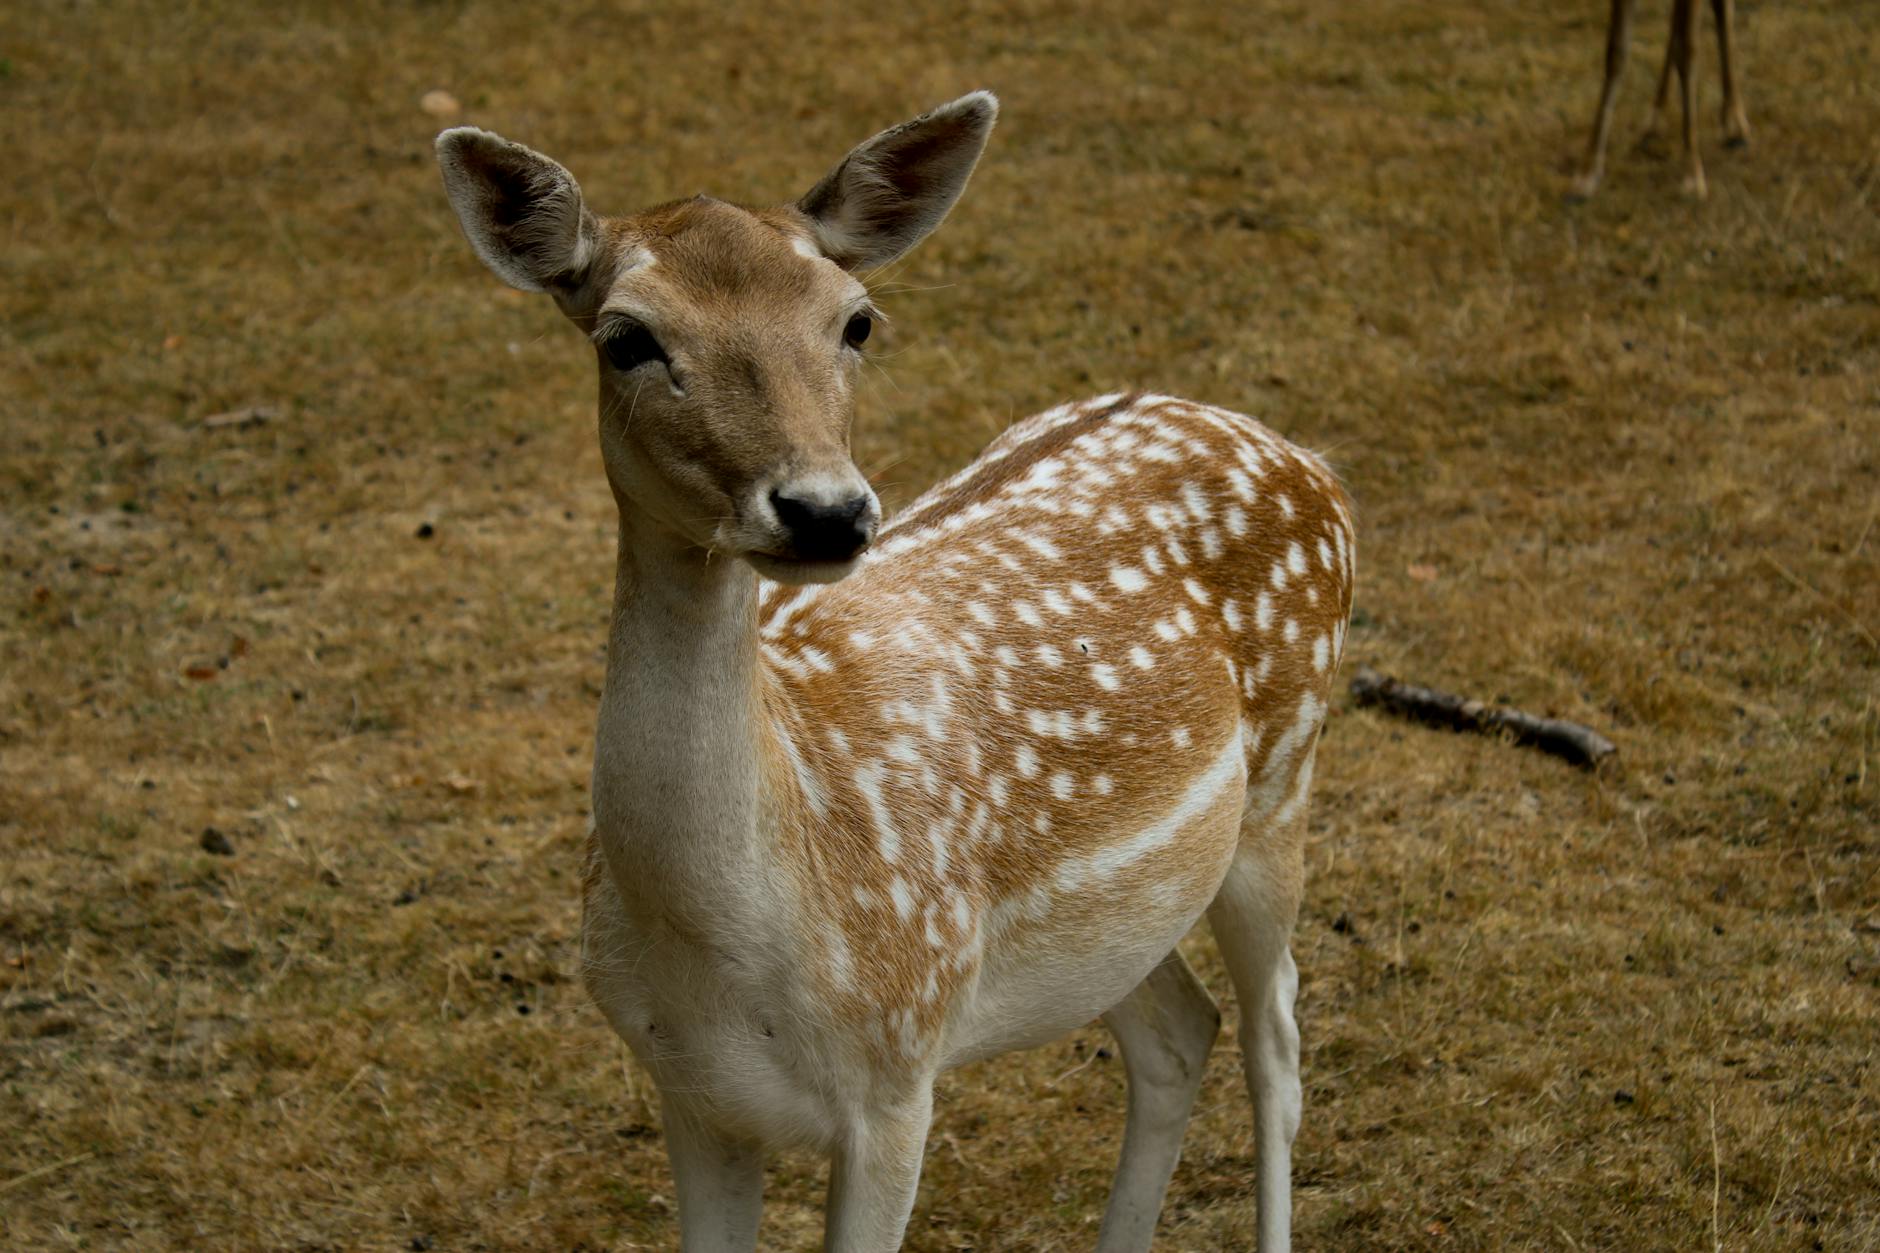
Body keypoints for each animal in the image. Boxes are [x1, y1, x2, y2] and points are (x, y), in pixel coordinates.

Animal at [436, 92, 1354, 1252]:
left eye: (856, 321)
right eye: (626, 337)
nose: (824, 510)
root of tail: (1310, 461)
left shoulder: (898, 1070)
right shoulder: (690, 1092)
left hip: (1282, 785)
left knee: (1276, 1044)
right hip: (1122, 912)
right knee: (1178, 1029)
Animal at [1569, 0, 1751, 201]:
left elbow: (1686, 52)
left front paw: (1693, 175)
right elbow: (1615, 53)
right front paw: (1586, 173)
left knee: (1721, 10)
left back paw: (1734, 122)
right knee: (1678, 22)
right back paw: (1655, 119)